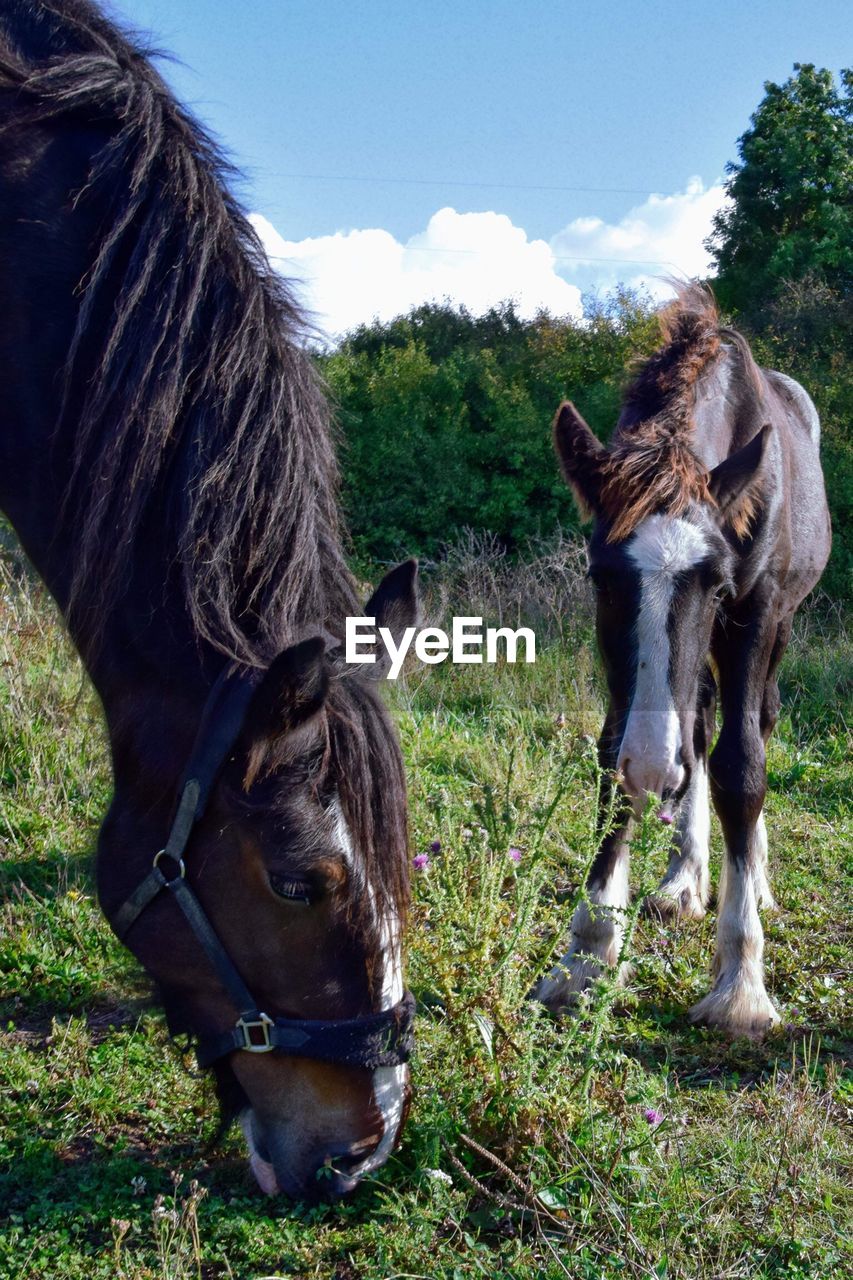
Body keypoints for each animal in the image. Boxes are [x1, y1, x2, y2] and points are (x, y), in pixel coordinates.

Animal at [535, 285, 824, 1034]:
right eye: (600, 579)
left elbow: (741, 766)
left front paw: (740, 982)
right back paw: (681, 877)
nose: (650, 772)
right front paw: (587, 952)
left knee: (750, 729)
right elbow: (614, 756)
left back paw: (751, 876)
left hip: (774, 631)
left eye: (716, 582)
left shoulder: (753, 612)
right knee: (695, 728)